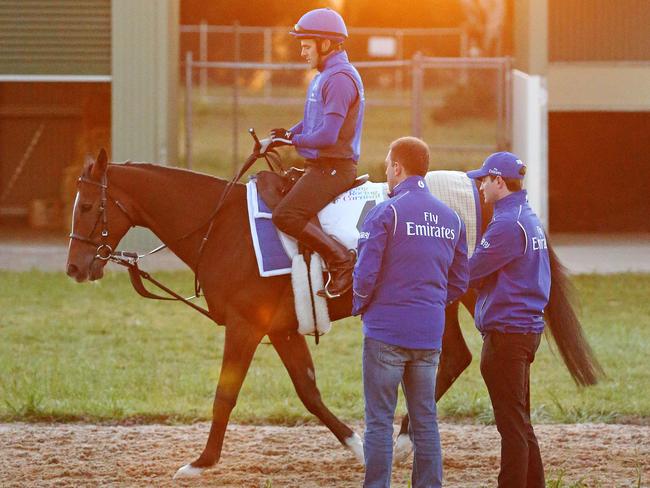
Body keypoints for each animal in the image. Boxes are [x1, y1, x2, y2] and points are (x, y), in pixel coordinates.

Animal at [66, 149, 604, 476]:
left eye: (89, 206)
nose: (74, 266)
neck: (221, 226)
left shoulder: (245, 326)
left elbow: (225, 395)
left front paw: (202, 461)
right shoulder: (281, 329)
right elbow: (308, 390)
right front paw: (359, 444)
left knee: (456, 359)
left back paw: (405, 438)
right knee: (454, 358)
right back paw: (406, 438)